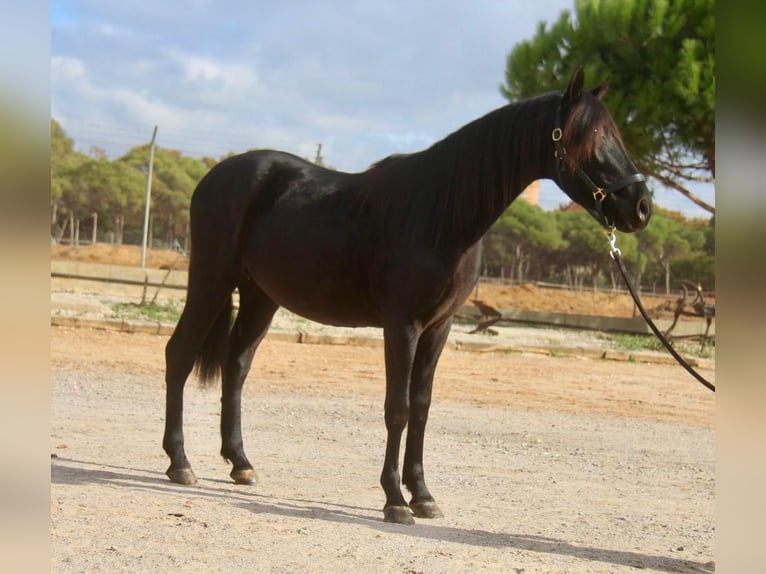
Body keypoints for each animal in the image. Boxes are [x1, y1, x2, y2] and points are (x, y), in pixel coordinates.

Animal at [162, 66, 653, 525]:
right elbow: (396, 408)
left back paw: (240, 463)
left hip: (261, 295)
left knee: (237, 365)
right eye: (591, 136)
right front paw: (395, 500)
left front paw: (423, 495)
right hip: (211, 279)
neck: (439, 214)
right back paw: (180, 463)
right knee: (180, 354)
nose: (642, 206)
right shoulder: (402, 325)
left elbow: (421, 406)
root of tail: (217, 175)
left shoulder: (439, 327)